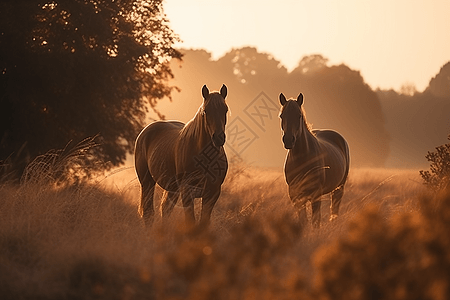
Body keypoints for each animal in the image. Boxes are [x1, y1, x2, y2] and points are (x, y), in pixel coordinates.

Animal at [134, 84, 229, 227]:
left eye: (225, 110)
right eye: (205, 111)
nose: (218, 138)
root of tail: (144, 133)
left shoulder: (212, 193)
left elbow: (204, 222)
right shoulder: (187, 191)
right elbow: (190, 221)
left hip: (172, 188)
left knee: (165, 210)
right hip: (147, 182)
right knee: (148, 213)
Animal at [280, 92, 350, 229]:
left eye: (299, 115)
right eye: (282, 116)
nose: (288, 140)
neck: (302, 159)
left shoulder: (316, 195)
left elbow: (315, 221)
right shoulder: (295, 196)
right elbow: (303, 220)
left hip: (339, 188)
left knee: (335, 209)